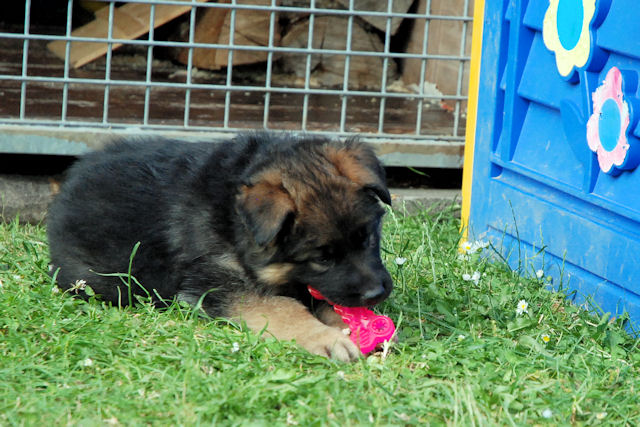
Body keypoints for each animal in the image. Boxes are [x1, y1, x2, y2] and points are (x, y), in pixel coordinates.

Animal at [47, 132, 393, 361]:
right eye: (322, 259)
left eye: (368, 238)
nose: (377, 293)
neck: (232, 221)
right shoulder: (216, 282)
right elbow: (283, 307)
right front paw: (326, 338)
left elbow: (326, 301)